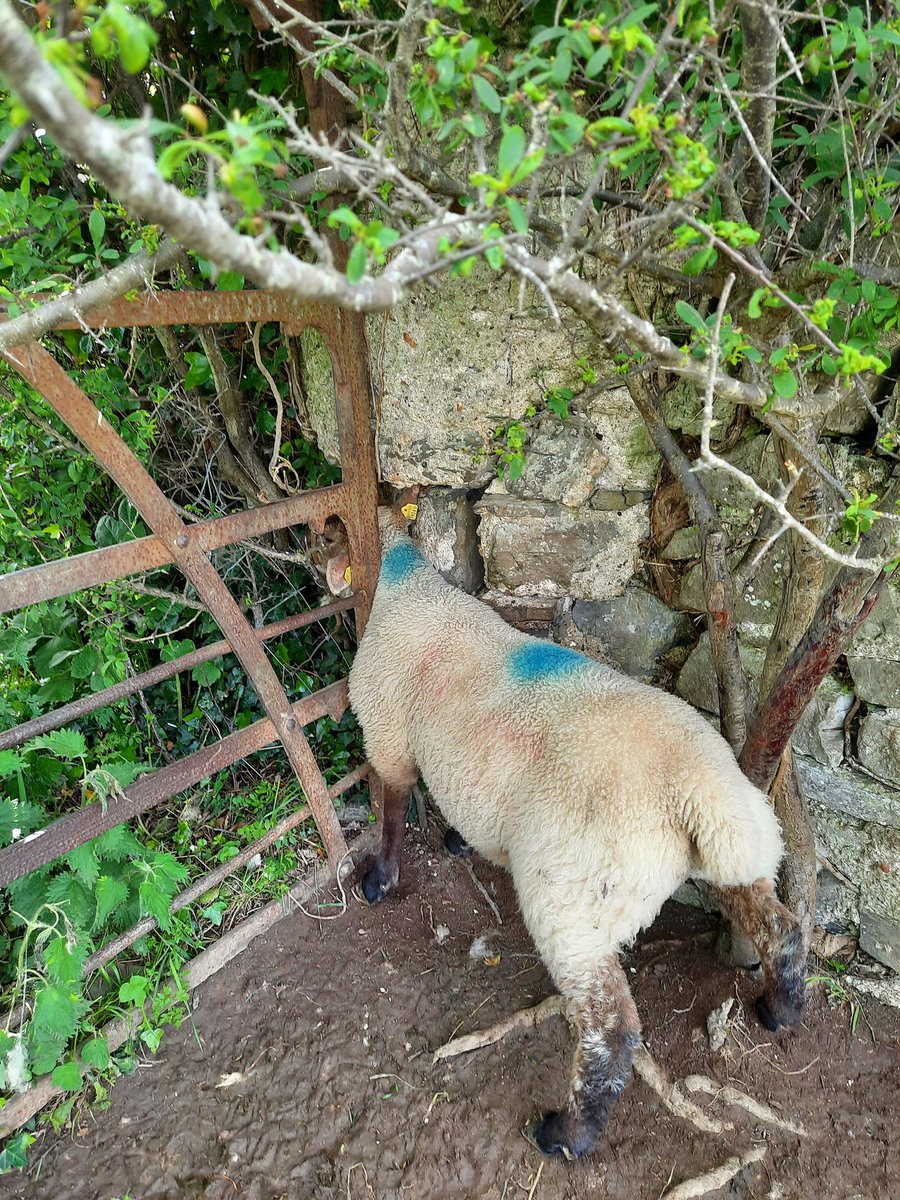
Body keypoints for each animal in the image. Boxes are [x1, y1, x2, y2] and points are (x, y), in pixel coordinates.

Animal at [324, 488, 806, 1161]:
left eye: (324, 535)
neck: (405, 584)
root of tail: (699, 792)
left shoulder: (388, 734)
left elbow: (393, 812)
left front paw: (379, 880)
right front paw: (458, 841)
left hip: (573, 899)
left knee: (613, 1027)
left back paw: (567, 1134)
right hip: (728, 855)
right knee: (780, 928)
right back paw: (780, 1010)